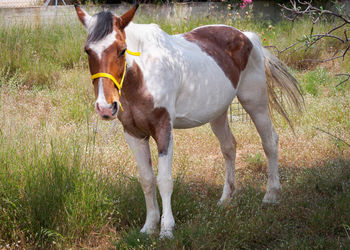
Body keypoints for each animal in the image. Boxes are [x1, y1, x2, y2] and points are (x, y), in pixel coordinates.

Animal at [75, 4, 302, 238]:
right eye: (88, 51)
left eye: (122, 50)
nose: (105, 107)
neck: (145, 73)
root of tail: (248, 37)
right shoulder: (133, 134)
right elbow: (146, 179)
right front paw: (149, 227)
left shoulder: (164, 129)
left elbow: (164, 180)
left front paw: (166, 229)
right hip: (218, 113)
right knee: (229, 147)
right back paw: (226, 199)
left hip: (255, 102)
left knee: (269, 141)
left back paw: (271, 195)